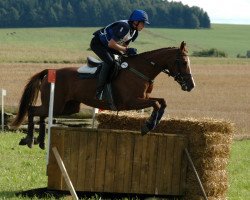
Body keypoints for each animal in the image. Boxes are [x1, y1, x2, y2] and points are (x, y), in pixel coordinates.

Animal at [11, 41, 195, 149]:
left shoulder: (143, 98)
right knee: (32, 110)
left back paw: (41, 142)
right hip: (57, 104)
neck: (141, 70)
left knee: (42, 115)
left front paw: (153, 123)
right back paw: (29, 140)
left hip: (67, 108)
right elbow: (156, 104)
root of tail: (50, 71)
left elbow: (162, 102)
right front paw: (147, 126)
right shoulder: (132, 101)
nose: (191, 85)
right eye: (183, 62)